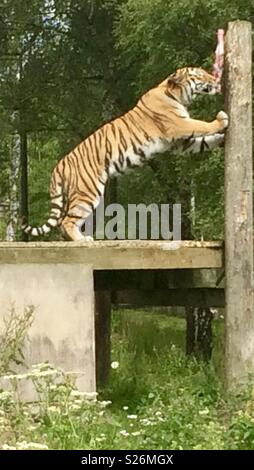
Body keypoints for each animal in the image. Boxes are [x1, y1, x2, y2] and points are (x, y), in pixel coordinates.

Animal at [22, 67, 228, 242]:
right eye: (200, 75)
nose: (215, 78)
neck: (175, 95)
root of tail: (60, 164)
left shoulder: (180, 143)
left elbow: (205, 141)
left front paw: (222, 139)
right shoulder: (179, 126)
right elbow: (202, 125)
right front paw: (222, 119)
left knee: (63, 222)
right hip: (87, 192)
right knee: (66, 221)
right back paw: (83, 240)